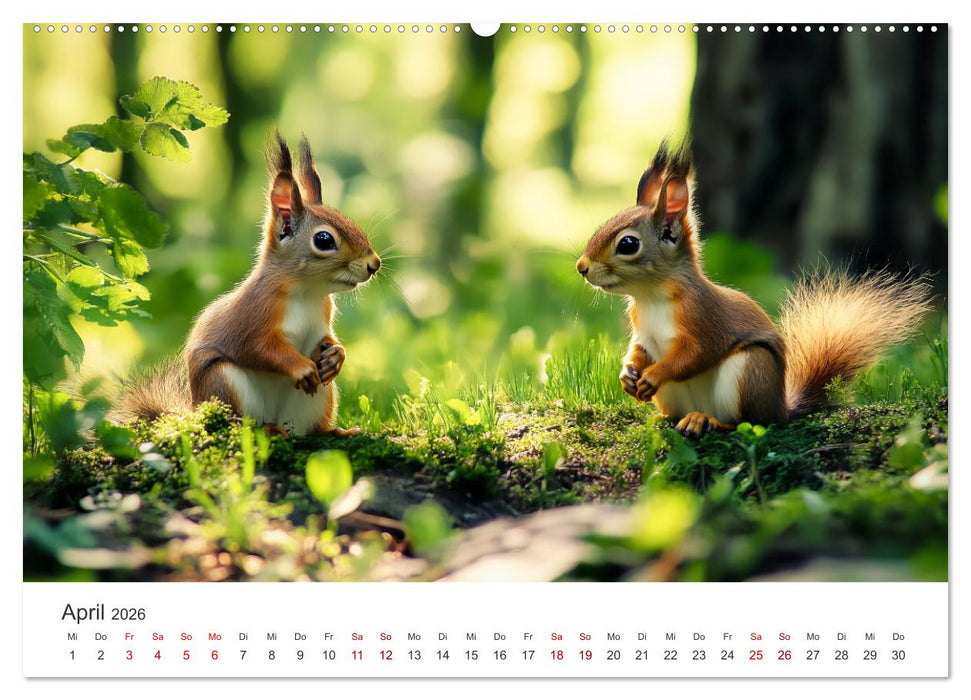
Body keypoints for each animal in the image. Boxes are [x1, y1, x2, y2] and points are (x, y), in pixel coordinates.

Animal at [114, 132, 381, 437]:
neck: (308, 291)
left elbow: (327, 340)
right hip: (224, 383)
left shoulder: (322, 320)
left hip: (321, 397)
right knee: (241, 424)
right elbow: (258, 349)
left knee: (311, 428)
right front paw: (300, 367)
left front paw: (336, 355)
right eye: (324, 240)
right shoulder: (251, 315)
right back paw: (265, 430)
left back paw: (334, 430)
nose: (374, 263)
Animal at [576, 141, 932, 438]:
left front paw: (653, 374)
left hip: (750, 371)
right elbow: (640, 349)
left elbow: (694, 355)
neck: (650, 296)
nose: (581, 267)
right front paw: (628, 373)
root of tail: (781, 409)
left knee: (748, 423)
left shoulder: (704, 320)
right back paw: (666, 417)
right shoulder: (643, 331)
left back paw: (706, 421)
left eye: (628, 244)